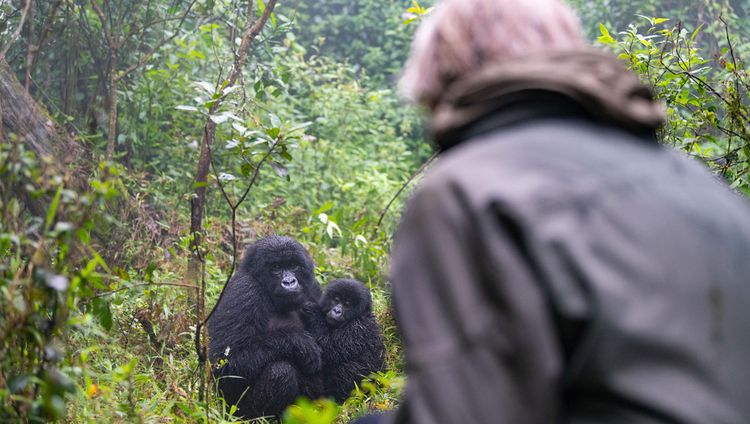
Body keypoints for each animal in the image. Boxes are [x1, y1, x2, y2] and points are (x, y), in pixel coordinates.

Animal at [209, 237, 324, 420]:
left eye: (293, 265)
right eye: (276, 267)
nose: (289, 282)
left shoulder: (313, 288)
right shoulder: (245, 292)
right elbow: (226, 365)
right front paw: (298, 342)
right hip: (235, 411)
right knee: (281, 371)